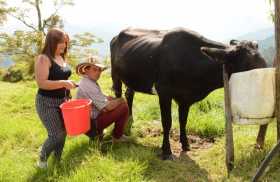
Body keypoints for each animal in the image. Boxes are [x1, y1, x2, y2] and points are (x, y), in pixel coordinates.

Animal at [109, 27, 266, 159]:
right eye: (249, 65)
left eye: (263, 62)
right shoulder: (164, 92)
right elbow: (167, 122)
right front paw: (166, 151)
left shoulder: (185, 98)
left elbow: (183, 121)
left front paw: (185, 144)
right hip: (115, 74)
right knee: (119, 95)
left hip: (132, 78)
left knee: (129, 94)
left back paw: (129, 120)